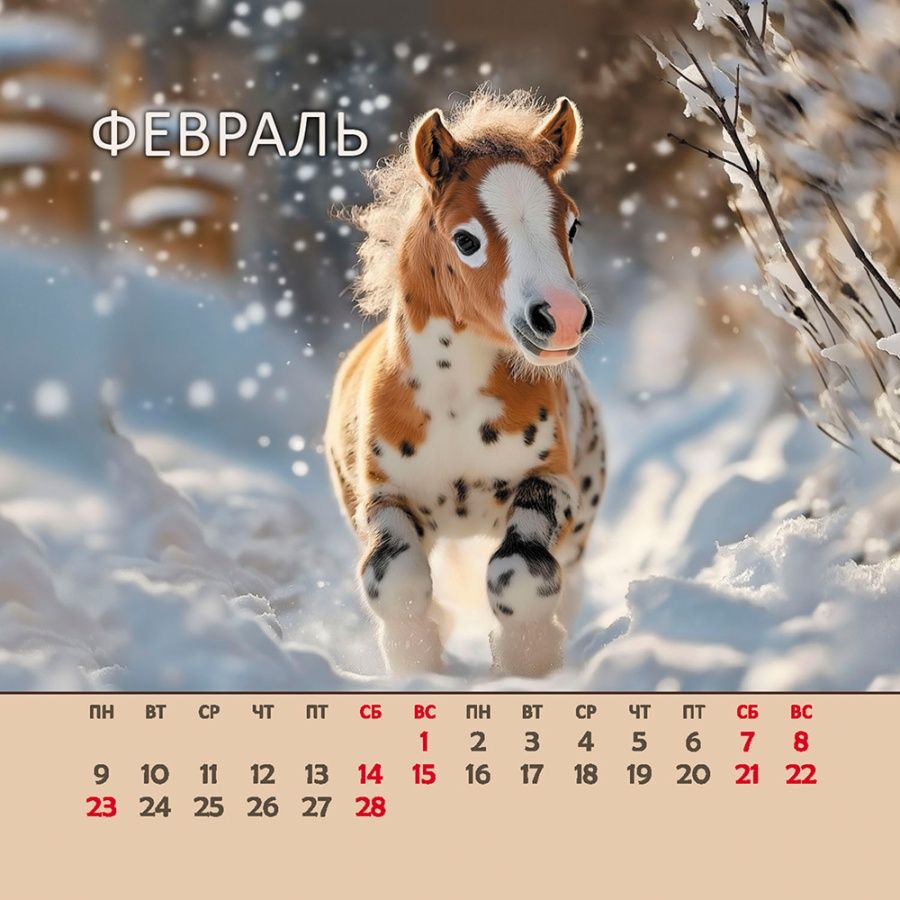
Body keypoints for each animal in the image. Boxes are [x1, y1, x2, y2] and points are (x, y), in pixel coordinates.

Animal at [325, 89, 605, 677]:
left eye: (572, 225)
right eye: (466, 240)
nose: (564, 318)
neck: (453, 401)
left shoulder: (551, 484)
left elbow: (519, 573)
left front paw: (527, 660)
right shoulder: (383, 498)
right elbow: (394, 579)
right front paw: (417, 660)